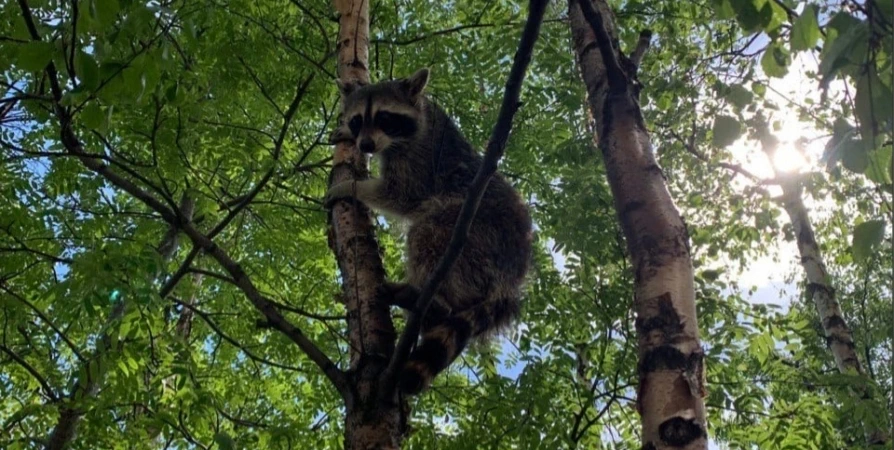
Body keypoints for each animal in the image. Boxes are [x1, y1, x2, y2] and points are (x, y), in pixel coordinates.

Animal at [326, 67, 532, 394]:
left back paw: (431, 300)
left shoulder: (419, 158)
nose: (366, 146)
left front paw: (351, 186)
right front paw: (346, 133)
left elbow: (401, 194)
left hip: (476, 232)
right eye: (358, 120)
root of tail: (511, 279)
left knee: (427, 233)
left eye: (385, 117)